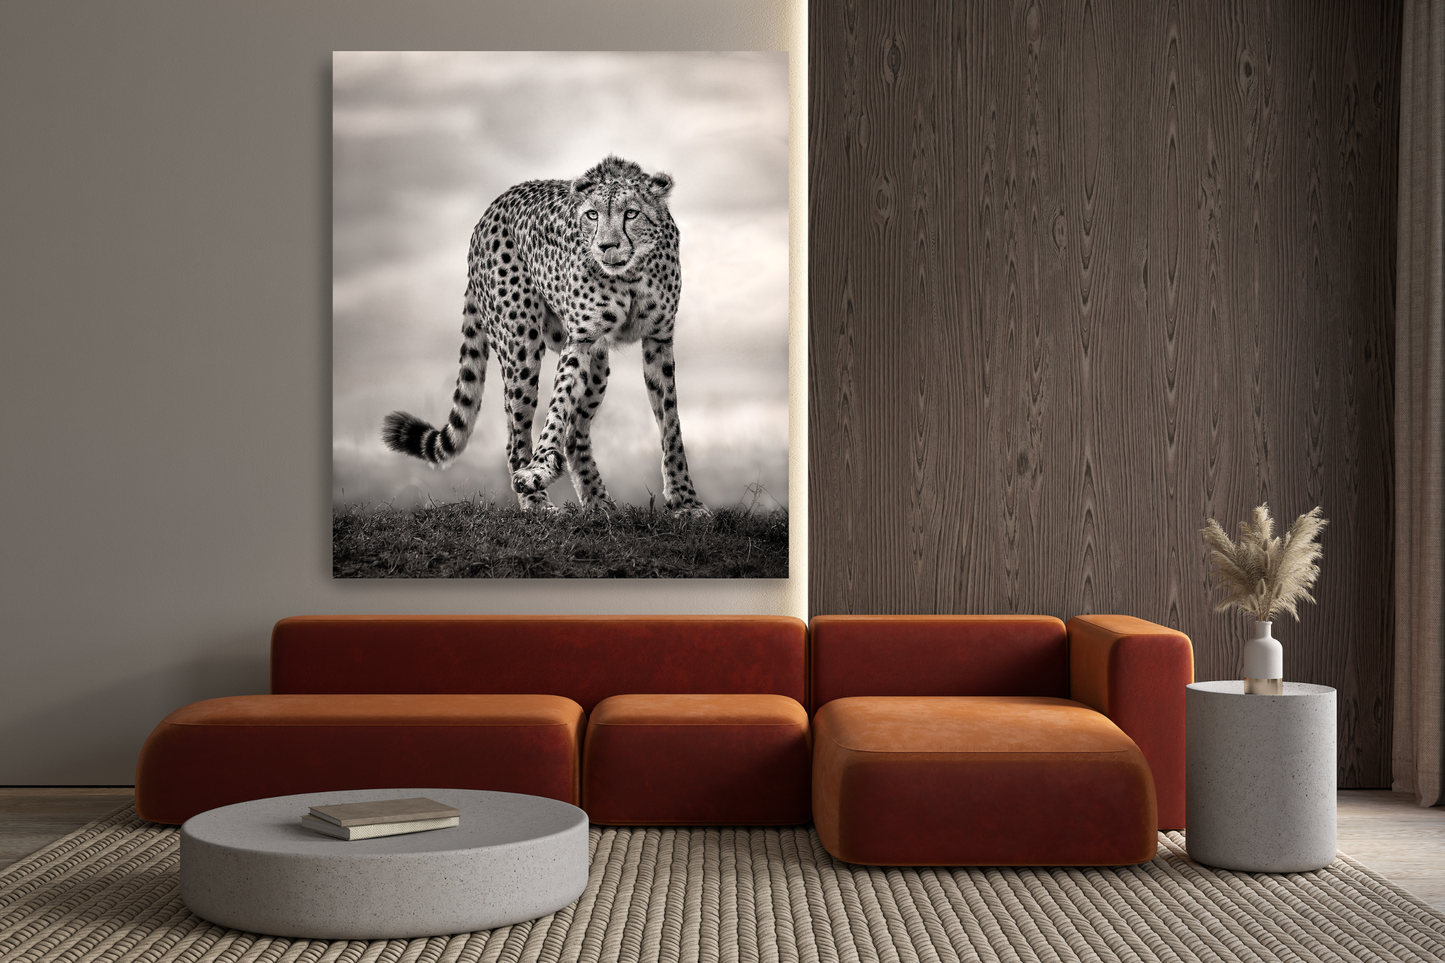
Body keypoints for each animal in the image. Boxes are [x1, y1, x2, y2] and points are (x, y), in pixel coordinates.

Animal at [381, 155, 707, 515]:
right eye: (592, 215)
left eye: (631, 213)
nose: (606, 246)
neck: (631, 273)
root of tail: (491, 210)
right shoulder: (580, 339)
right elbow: (558, 403)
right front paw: (537, 471)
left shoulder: (658, 339)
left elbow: (670, 422)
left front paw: (685, 500)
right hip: (521, 346)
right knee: (516, 434)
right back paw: (535, 500)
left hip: (597, 366)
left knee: (575, 433)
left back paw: (598, 502)